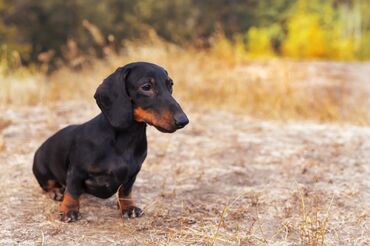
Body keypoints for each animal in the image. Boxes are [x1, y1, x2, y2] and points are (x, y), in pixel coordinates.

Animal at [31, 61, 188, 221]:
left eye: (171, 84)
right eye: (146, 87)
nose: (183, 121)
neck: (125, 141)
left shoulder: (132, 173)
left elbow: (125, 191)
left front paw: (128, 207)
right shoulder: (76, 171)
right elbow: (72, 191)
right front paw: (69, 210)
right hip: (42, 170)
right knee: (49, 185)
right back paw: (56, 192)